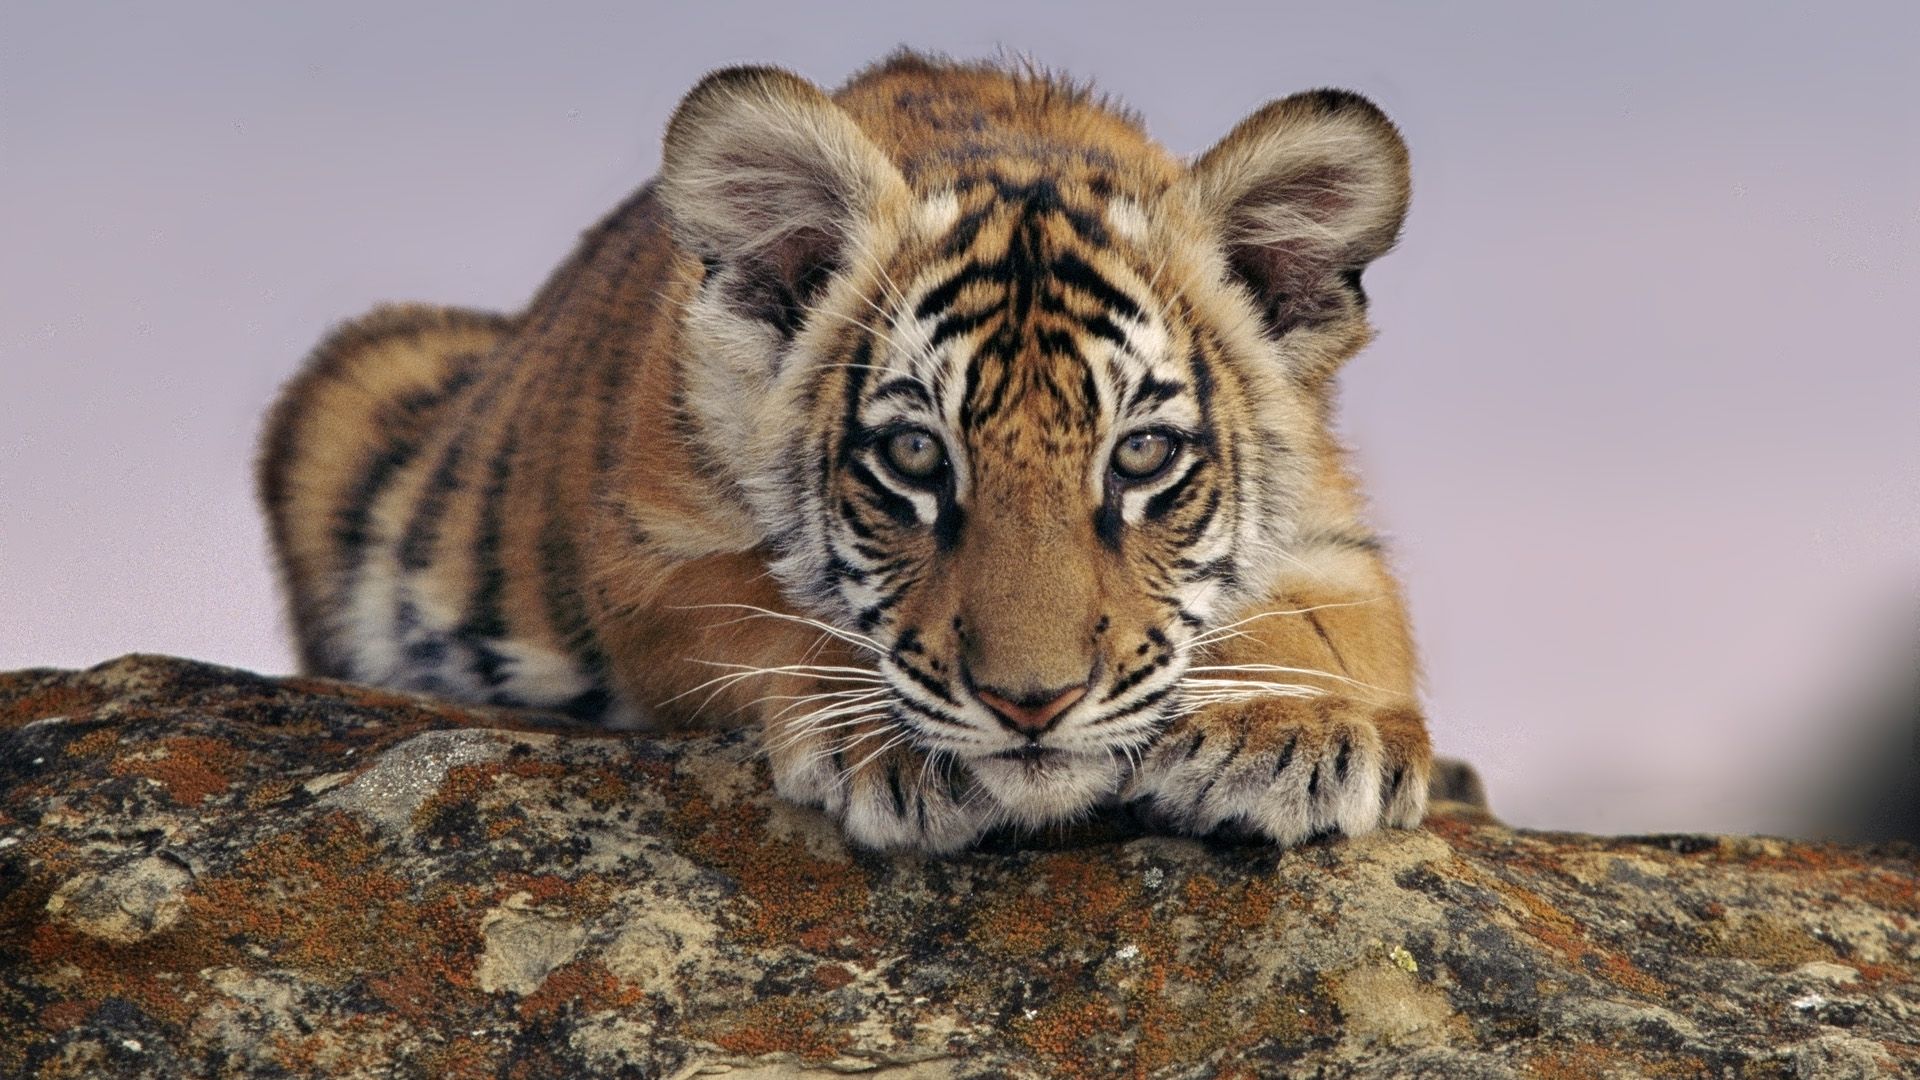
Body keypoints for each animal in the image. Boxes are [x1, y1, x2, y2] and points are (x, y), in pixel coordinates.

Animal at [258, 52, 1433, 853]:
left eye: (1140, 457)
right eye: (915, 456)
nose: (1032, 707)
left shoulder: (1335, 535)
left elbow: (1328, 625)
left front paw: (1290, 728)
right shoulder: (649, 554)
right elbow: (768, 606)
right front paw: (892, 743)